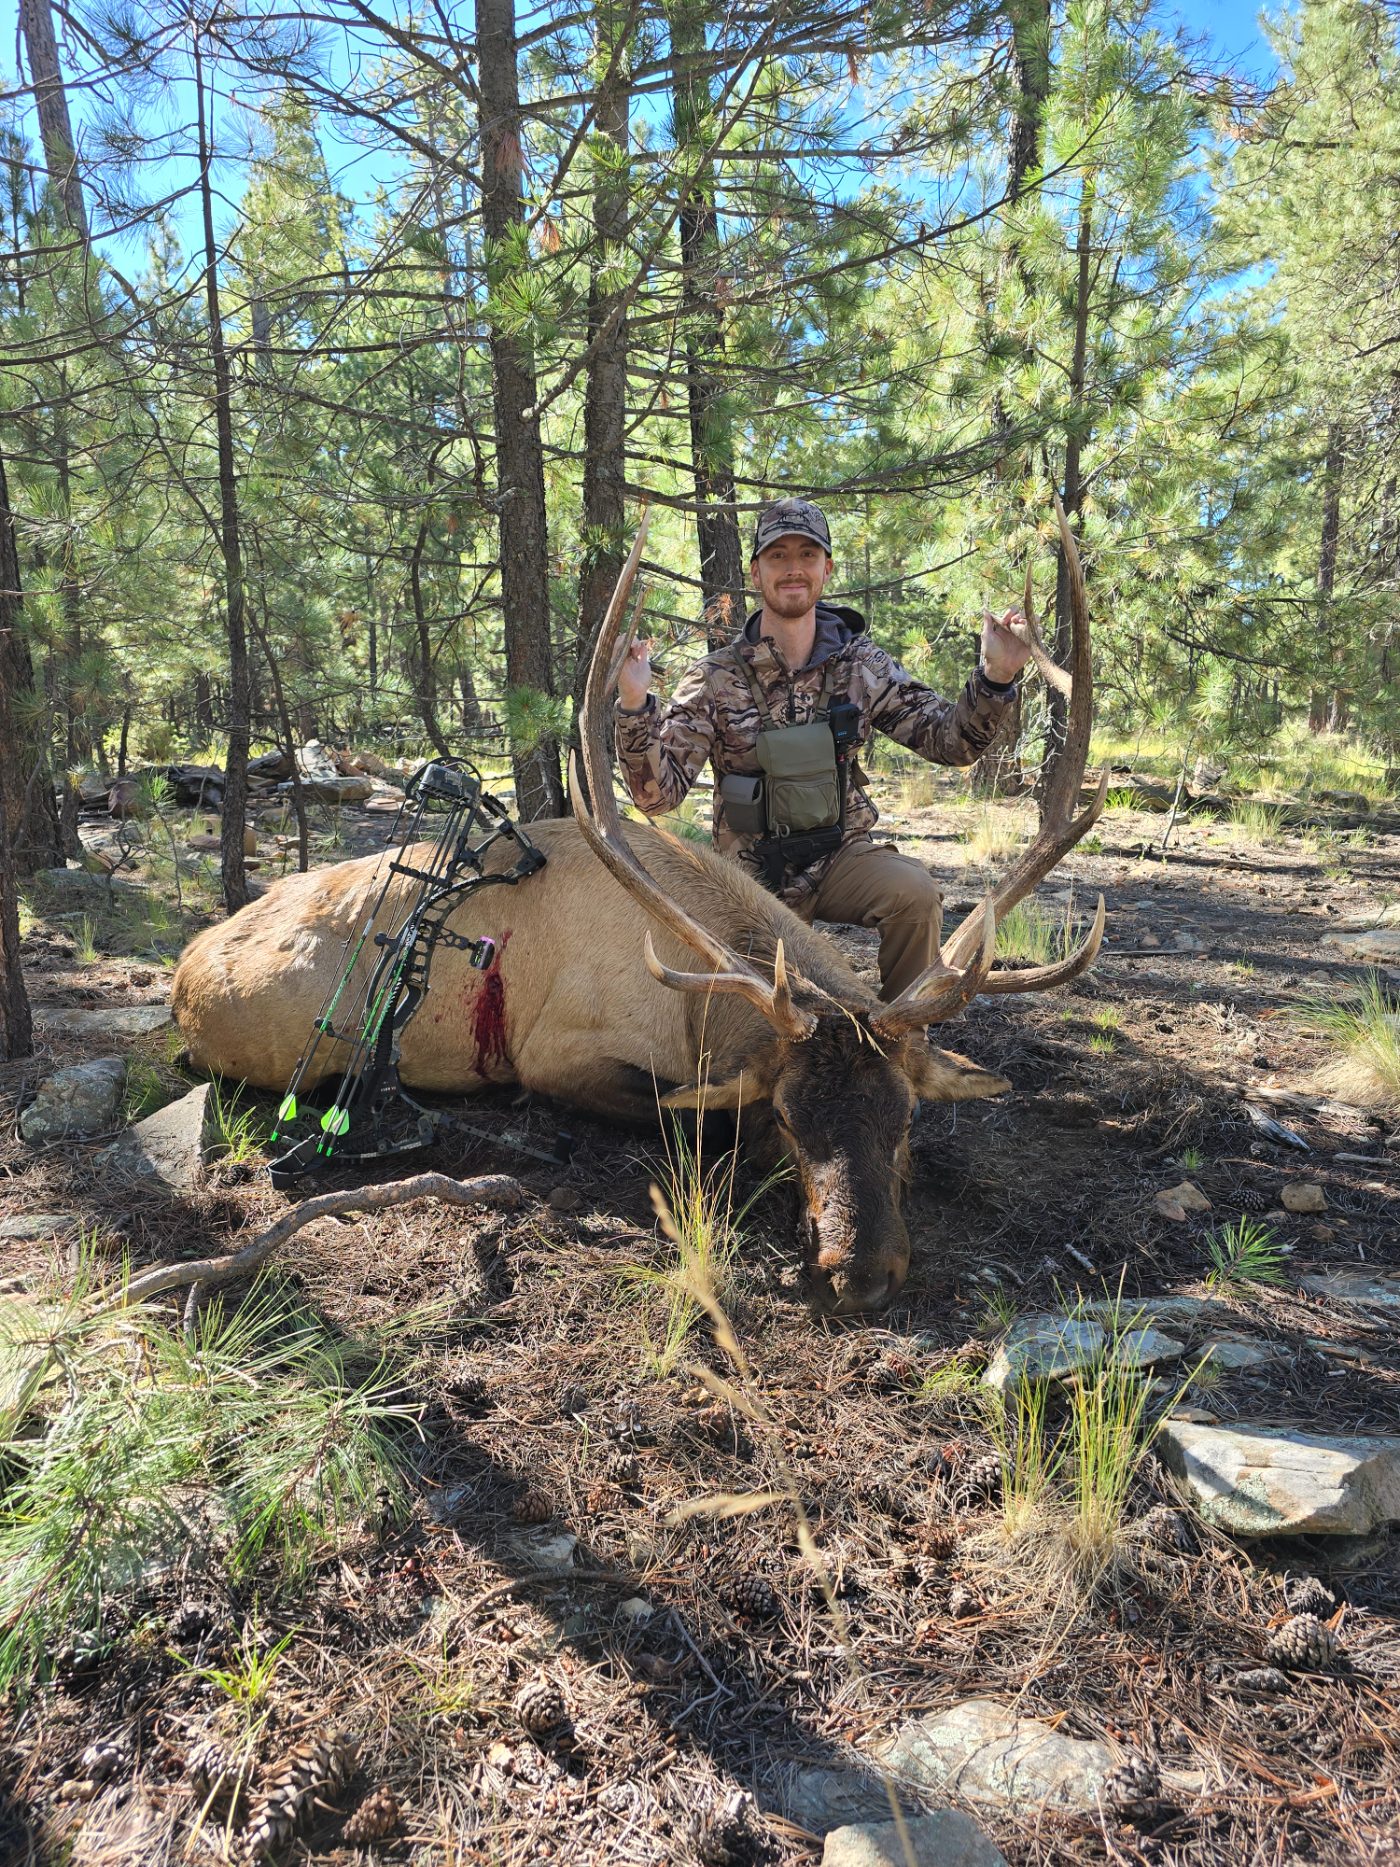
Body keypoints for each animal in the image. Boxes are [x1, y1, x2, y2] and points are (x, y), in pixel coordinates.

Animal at [171, 499, 1105, 1316]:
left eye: (907, 1116)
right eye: (789, 1116)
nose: (860, 1275)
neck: (695, 1008)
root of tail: (182, 972)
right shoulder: (559, 1054)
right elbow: (696, 1120)